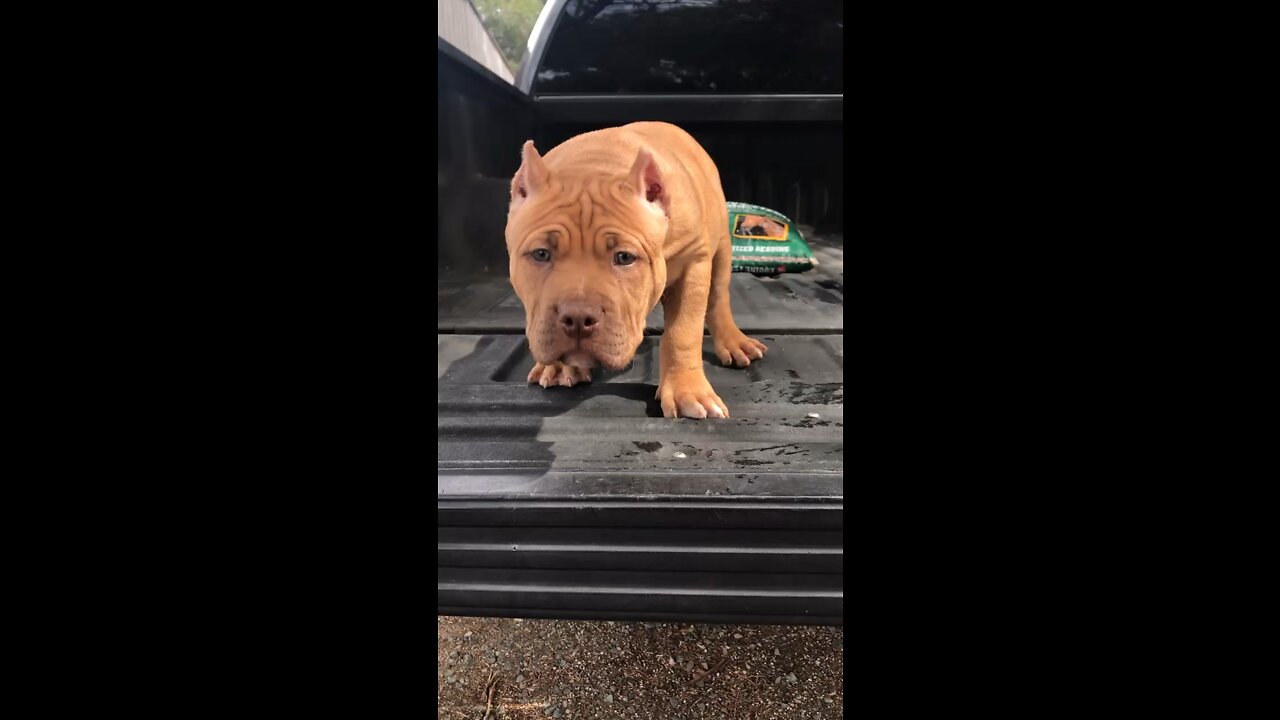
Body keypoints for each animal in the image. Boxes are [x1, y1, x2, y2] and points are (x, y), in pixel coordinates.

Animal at [501, 120, 762, 417]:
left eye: (624, 257)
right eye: (541, 254)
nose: (577, 318)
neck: (596, 162)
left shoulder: (694, 262)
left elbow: (683, 331)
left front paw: (687, 391)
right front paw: (558, 366)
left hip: (720, 248)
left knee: (718, 296)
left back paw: (733, 341)